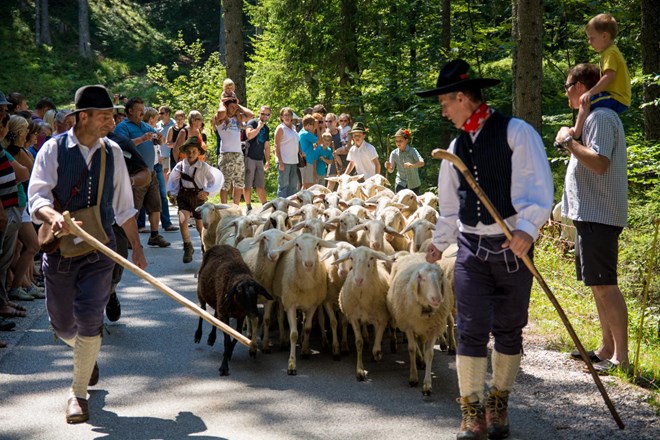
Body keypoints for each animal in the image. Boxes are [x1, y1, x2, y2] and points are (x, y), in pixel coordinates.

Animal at [195, 244, 272, 374]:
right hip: (201, 292)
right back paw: (198, 335)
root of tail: (221, 245)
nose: (254, 313)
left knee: (215, 316)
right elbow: (226, 341)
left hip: (218, 300)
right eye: (240, 292)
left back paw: (212, 337)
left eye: (257, 292)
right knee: (202, 311)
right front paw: (224, 366)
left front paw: (229, 352)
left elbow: (237, 335)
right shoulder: (226, 314)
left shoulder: (240, 315)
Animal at [386, 253, 454, 398]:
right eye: (422, 278)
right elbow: (411, 349)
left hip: (424, 328)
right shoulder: (408, 327)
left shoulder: (433, 328)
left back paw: (421, 360)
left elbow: (429, 353)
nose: (437, 299)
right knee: (416, 344)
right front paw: (413, 378)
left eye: (441, 276)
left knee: (421, 342)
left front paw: (427, 385)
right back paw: (418, 358)